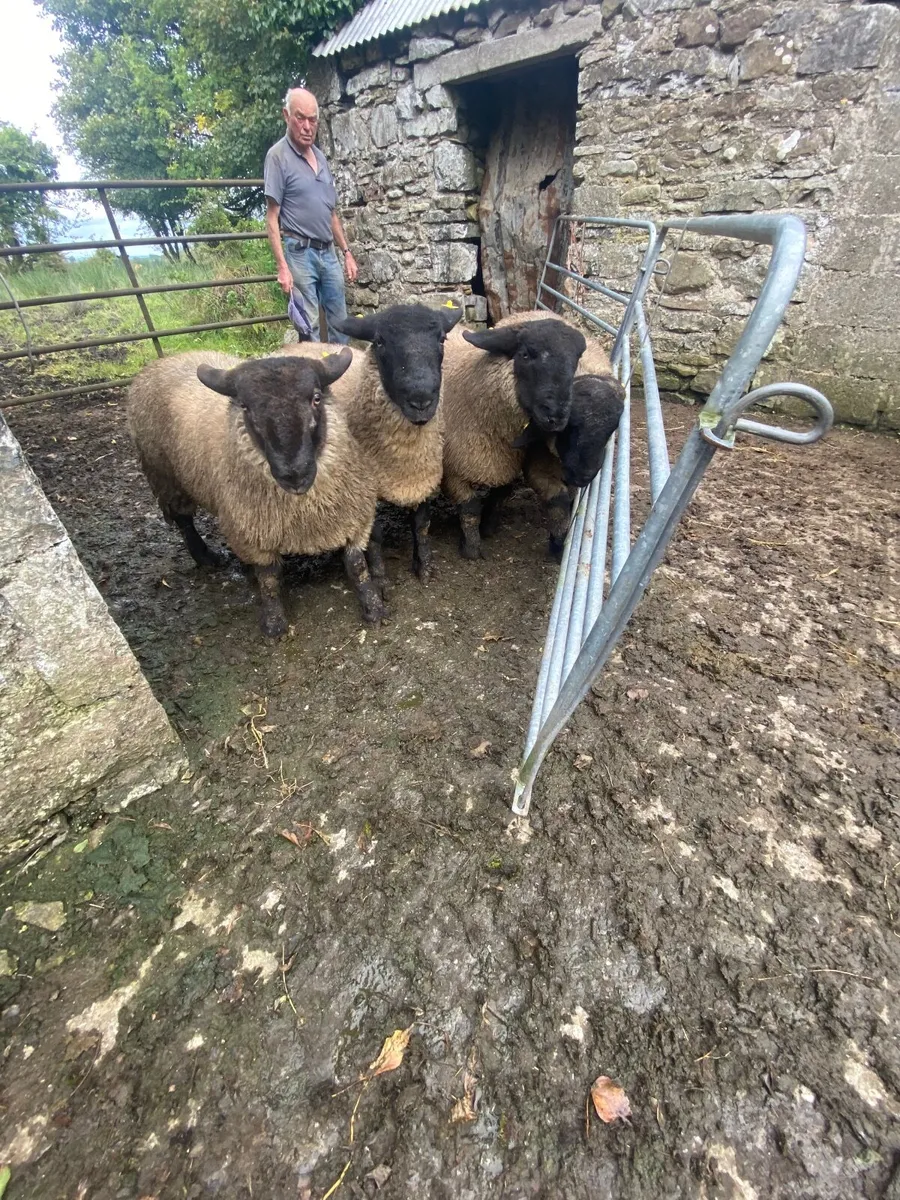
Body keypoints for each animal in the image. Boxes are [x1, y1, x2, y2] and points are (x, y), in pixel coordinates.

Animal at [127, 348, 384, 638]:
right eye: (246, 407)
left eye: (316, 398)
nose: (294, 473)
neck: (305, 509)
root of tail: (161, 362)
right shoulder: (252, 531)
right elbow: (268, 578)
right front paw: (274, 624)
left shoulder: (355, 514)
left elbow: (356, 564)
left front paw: (373, 606)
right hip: (165, 476)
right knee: (184, 522)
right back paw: (206, 557)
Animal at [275, 302, 463, 586]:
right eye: (380, 342)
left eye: (442, 338)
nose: (421, 400)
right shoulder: (366, 487)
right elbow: (374, 536)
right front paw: (380, 578)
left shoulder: (423, 475)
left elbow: (422, 524)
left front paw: (424, 567)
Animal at [441, 310, 613, 559]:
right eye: (524, 355)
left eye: (575, 361)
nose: (556, 416)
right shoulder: (454, 470)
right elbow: (470, 509)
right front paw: (471, 549)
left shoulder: (509, 461)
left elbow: (501, 494)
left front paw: (488, 527)